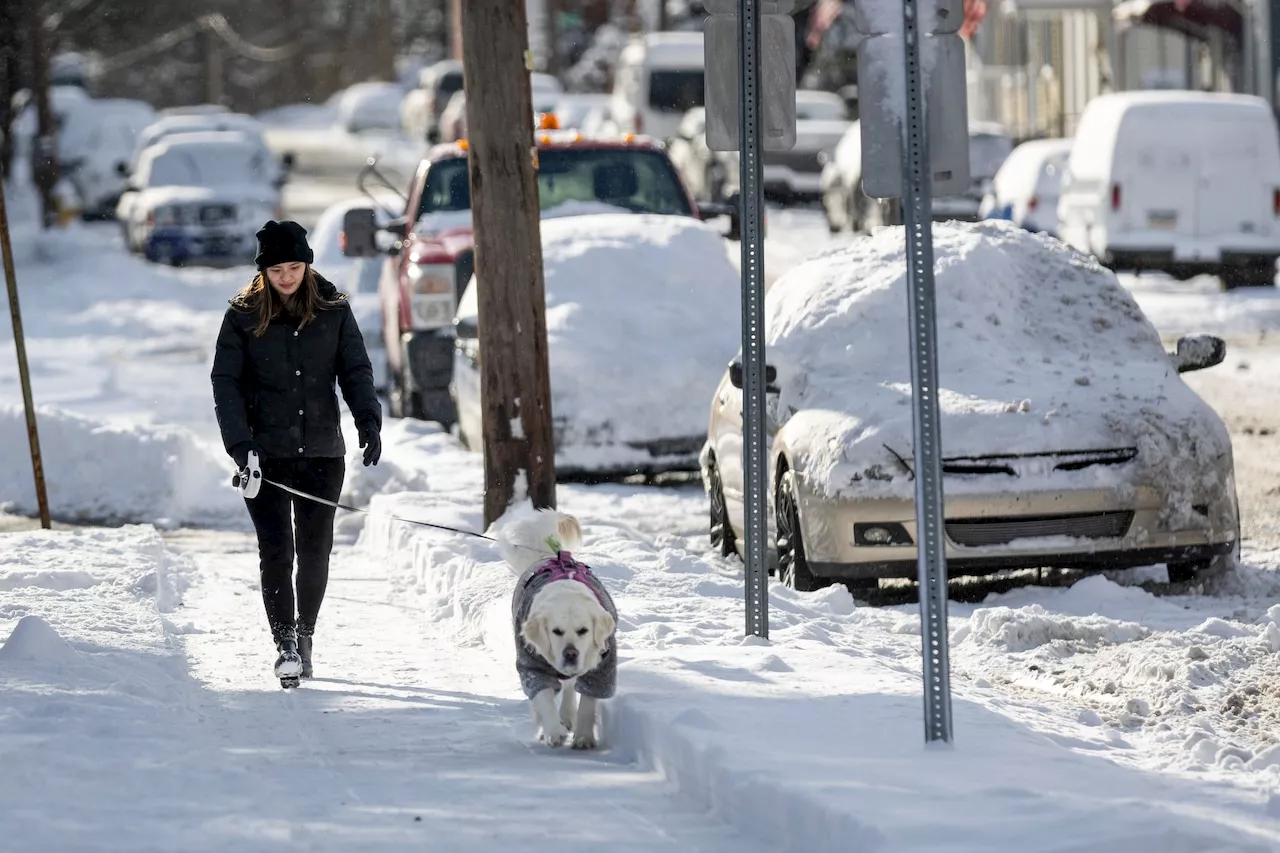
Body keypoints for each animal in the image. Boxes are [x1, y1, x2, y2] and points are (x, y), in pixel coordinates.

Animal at [499, 507, 619, 747]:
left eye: (583, 631)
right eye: (556, 631)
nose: (570, 653)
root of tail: (548, 556)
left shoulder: (602, 668)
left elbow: (587, 700)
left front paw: (583, 737)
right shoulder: (531, 665)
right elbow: (543, 698)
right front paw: (554, 731)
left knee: (570, 687)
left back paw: (568, 716)